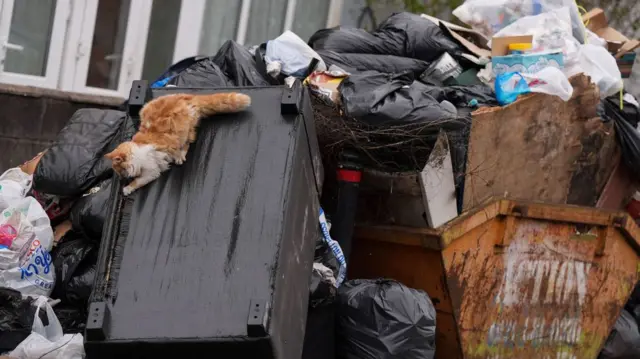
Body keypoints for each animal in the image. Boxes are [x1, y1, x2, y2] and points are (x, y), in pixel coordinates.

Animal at [105, 92, 250, 194]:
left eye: (120, 170)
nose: (121, 178)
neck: (136, 153)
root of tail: (189, 96)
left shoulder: (152, 170)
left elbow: (138, 181)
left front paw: (127, 188)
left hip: (182, 130)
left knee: (187, 143)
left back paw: (180, 157)